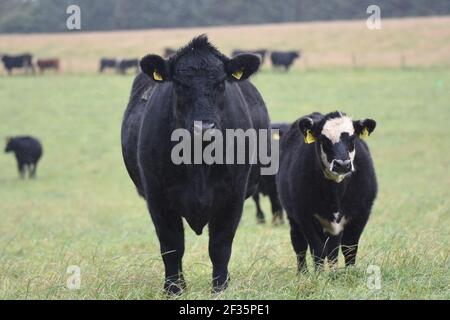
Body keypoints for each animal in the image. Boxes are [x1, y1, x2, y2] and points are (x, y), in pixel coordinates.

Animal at [121, 35, 268, 296]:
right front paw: (173, 289)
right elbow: (172, 246)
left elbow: (220, 246)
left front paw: (220, 287)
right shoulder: (157, 198)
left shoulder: (233, 197)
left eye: (220, 83)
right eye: (179, 85)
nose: (204, 127)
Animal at [278, 111, 376, 272]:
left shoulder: (361, 214)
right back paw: (303, 273)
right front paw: (319, 275)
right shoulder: (305, 216)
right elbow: (317, 249)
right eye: (323, 139)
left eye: (352, 138)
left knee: (332, 249)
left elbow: (349, 248)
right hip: (294, 219)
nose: (342, 164)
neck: (335, 193)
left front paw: (348, 273)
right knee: (300, 245)